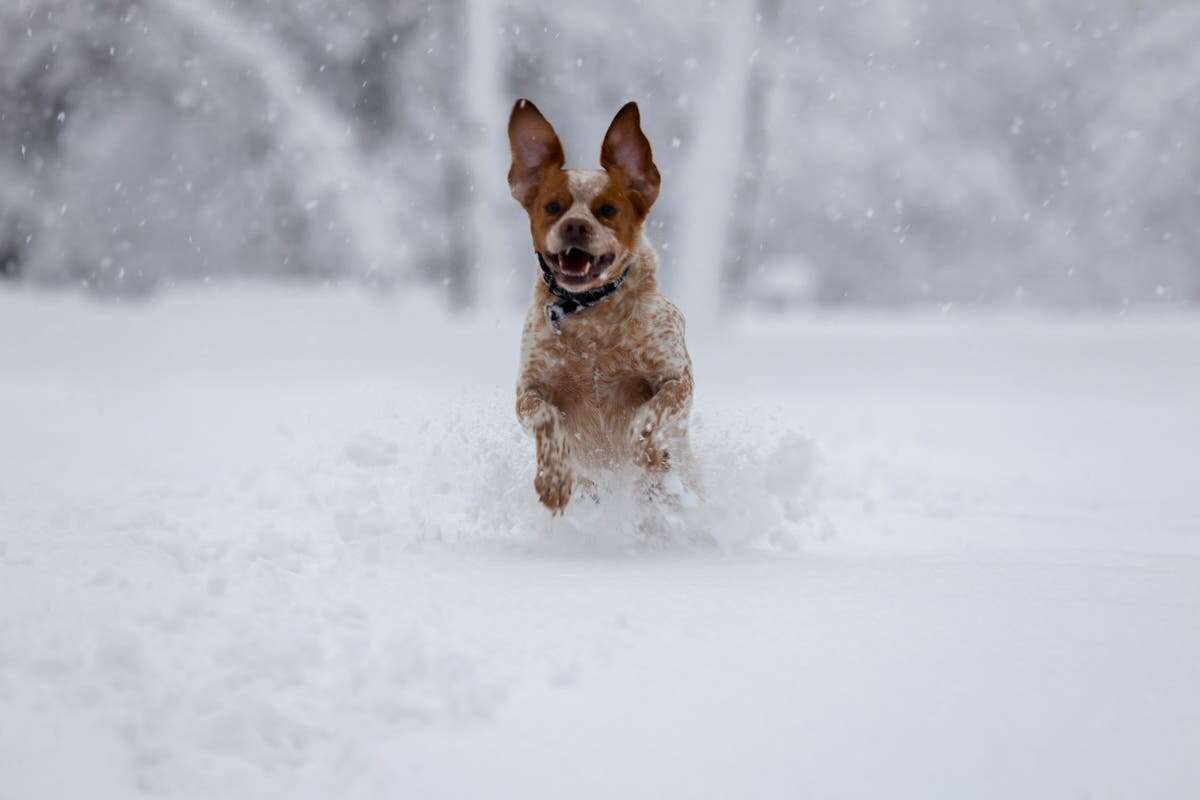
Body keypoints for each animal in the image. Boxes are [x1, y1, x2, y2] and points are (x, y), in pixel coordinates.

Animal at [506, 100, 696, 515]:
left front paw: (646, 448)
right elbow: (545, 416)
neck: (592, 318)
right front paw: (554, 480)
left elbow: (651, 411)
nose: (575, 225)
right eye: (553, 207)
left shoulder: (676, 377)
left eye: (607, 210)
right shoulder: (529, 389)